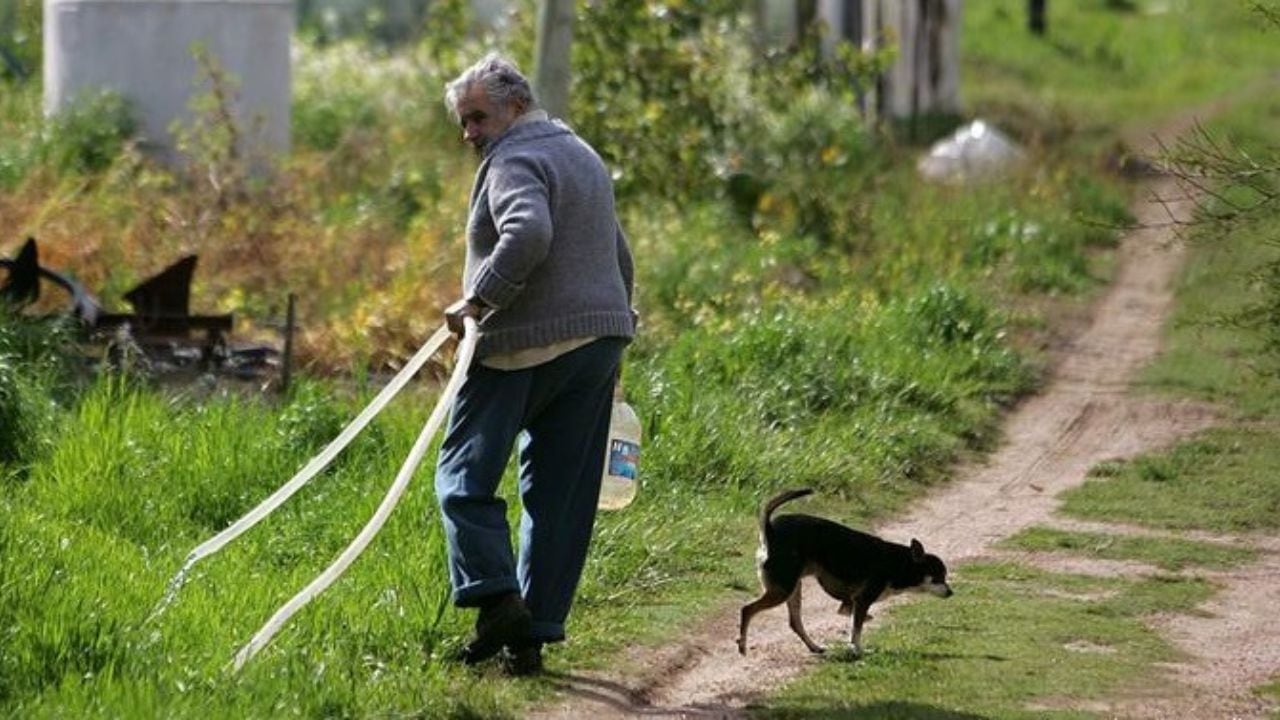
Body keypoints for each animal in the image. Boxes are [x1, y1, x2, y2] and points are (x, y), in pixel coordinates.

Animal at [742, 484, 952, 653]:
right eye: (938, 576)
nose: (951, 593)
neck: (900, 563)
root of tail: (770, 532)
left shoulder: (851, 602)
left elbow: (852, 619)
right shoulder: (862, 599)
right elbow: (856, 629)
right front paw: (857, 649)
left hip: (793, 588)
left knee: (795, 622)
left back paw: (814, 647)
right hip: (783, 589)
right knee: (747, 609)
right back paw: (742, 646)